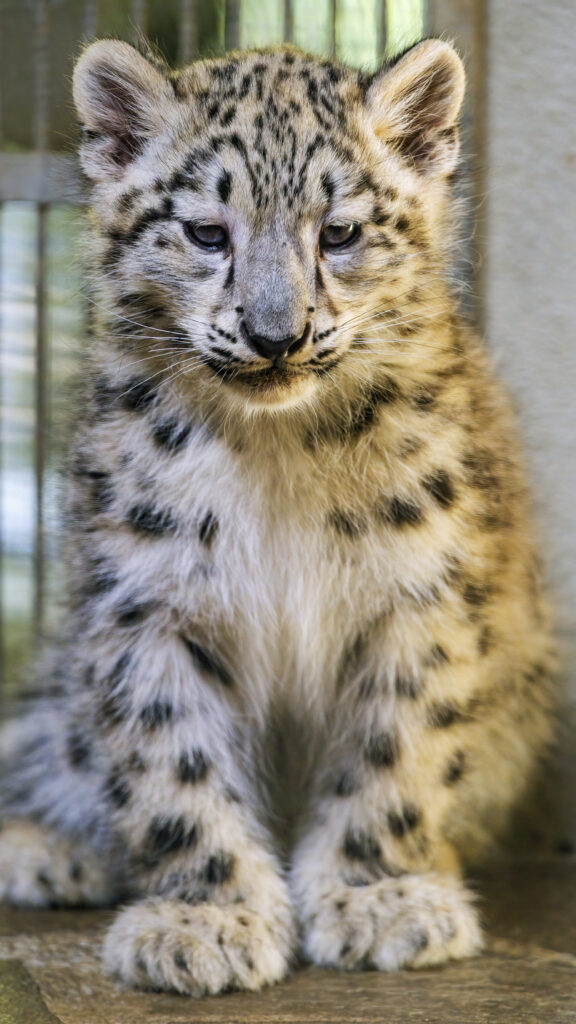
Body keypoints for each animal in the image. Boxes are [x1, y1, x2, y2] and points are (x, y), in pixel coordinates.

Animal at [0, 36, 557, 997]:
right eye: (206, 232)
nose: (275, 335)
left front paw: (378, 899)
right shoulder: (148, 602)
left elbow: (395, 752)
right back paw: (48, 849)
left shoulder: (419, 597)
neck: (280, 456)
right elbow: (172, 766)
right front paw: (205, 919)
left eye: (338, 233)